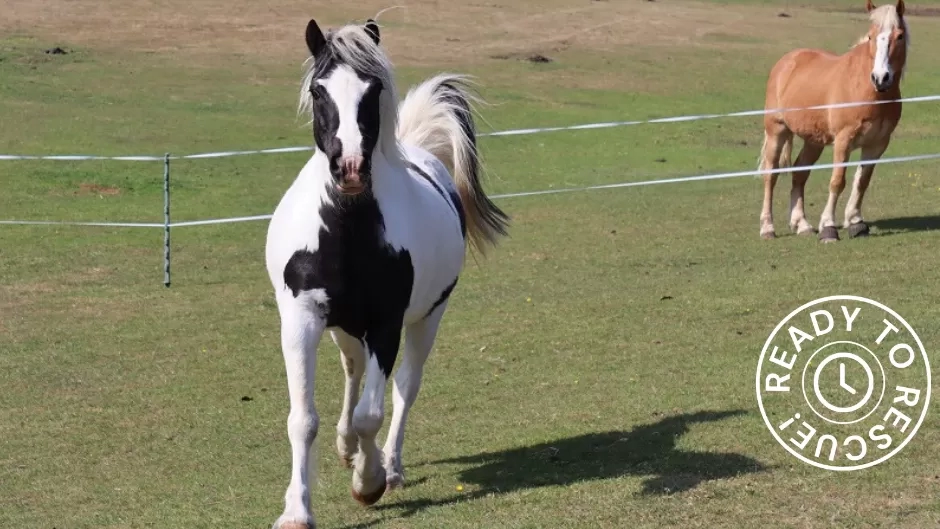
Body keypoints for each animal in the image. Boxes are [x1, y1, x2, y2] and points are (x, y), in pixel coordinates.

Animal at [263, 18, 509, 529]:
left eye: (373, 89)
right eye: (318, 90)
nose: (351, 168)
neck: (347, 233)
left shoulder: (386, 325)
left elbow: (371, 414)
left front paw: (369, 481)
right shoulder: (300, 319)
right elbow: (303, 419)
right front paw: (297, 508)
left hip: (426, 320)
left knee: (403, 390)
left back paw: (388, 467)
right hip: (343, 328)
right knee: (353, 371)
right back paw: (345, 447)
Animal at [757, 0, 909, 242]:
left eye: (900, 36)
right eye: (870, 36)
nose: (881, 78)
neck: (867, 90)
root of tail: (786, 61)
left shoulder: (877, 144)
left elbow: (862, 181)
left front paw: (855, 221)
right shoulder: (843, 141)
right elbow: (838, 181)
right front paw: (828, 227)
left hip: (813, 140)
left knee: (799, 173)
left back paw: (802, 224)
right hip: (777, 132)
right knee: (771, 175)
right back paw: (767, 228)